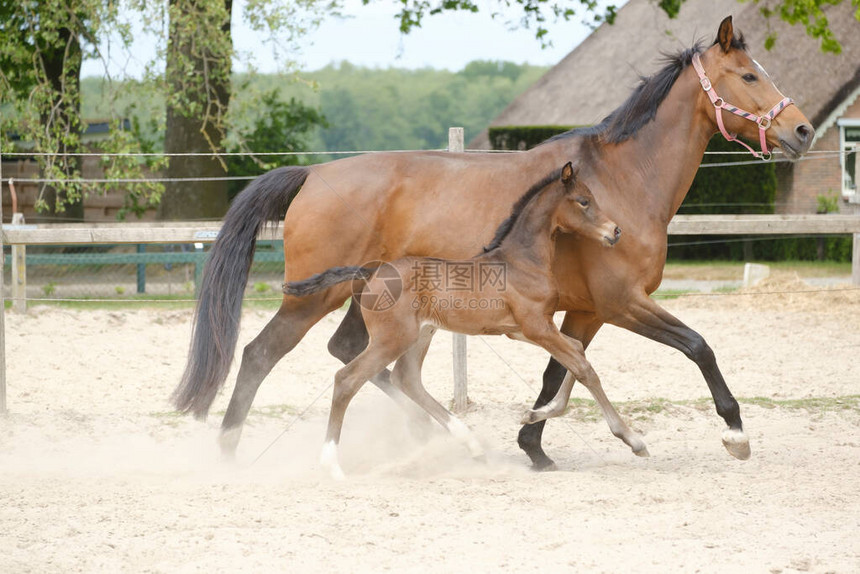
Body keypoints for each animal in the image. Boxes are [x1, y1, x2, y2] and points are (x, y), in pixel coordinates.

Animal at [284, 164, 644, 480]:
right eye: (584, 201)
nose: (615, 231)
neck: (522, 261)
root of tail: (369, 272)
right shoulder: (536, 326)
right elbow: (584, 367)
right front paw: (633, 440)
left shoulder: (523, 330)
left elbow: (577, 352)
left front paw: (533, 413)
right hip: (392, 338)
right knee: (347, 379)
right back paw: (332, 466)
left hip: (421, 334)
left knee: (407, 379)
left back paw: (472, 446)